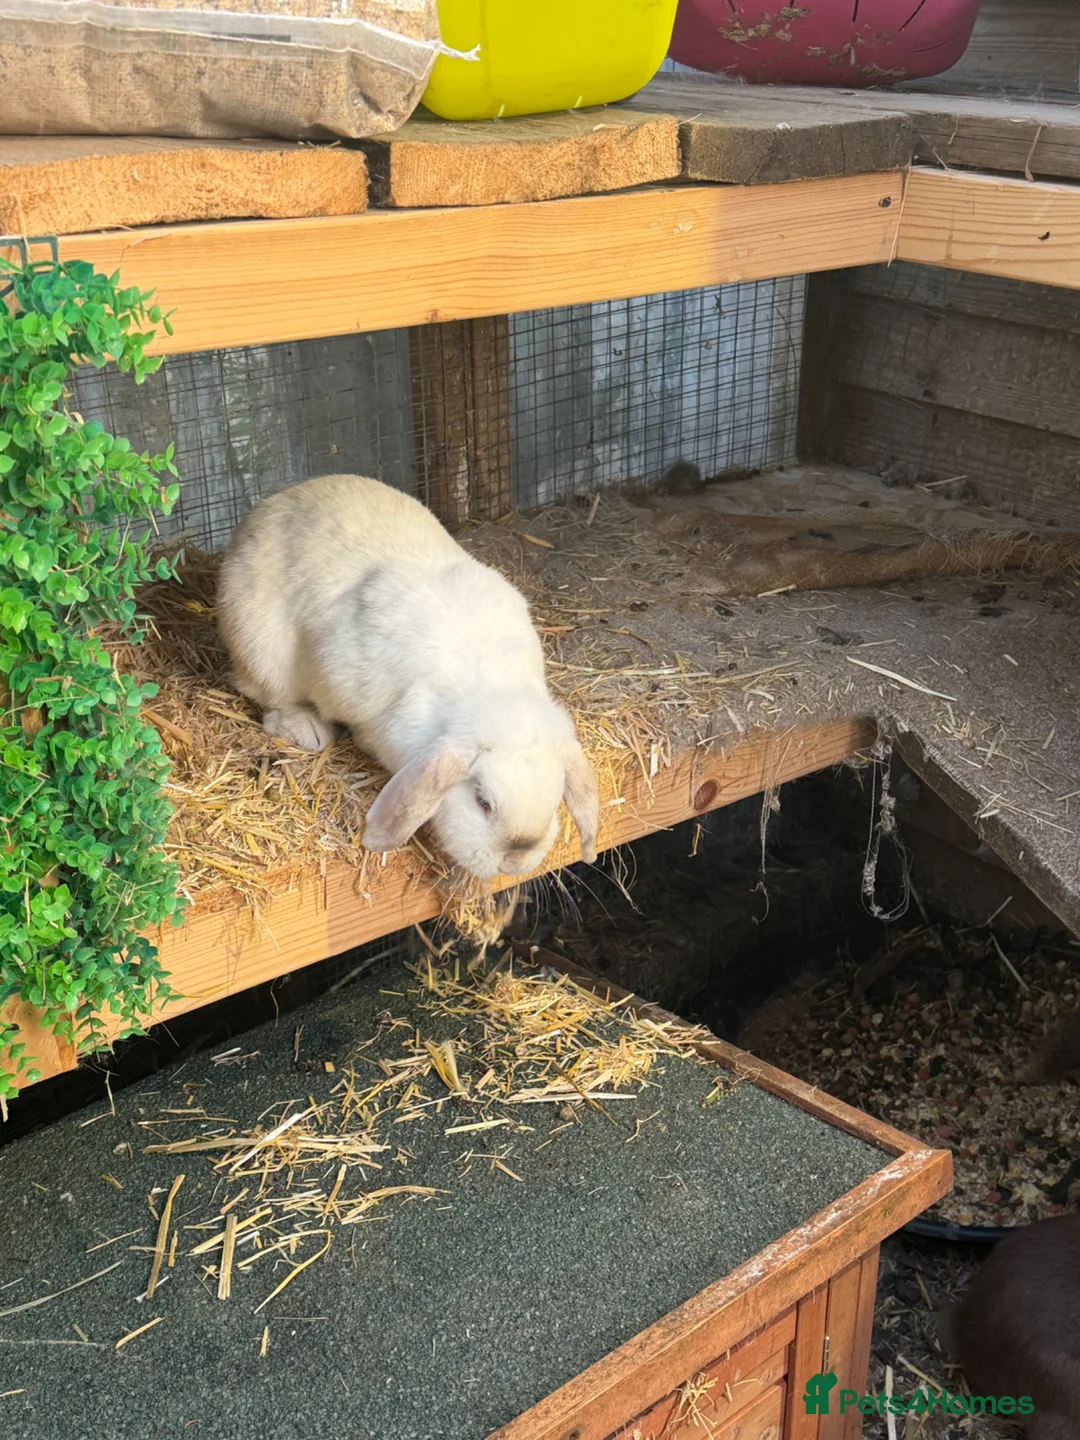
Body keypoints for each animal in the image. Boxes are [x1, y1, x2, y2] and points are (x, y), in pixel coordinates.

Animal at [216, 474, 599, 881]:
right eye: (482, 801)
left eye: (555, 801)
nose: (514, 860)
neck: (490, 687)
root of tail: (265, 509)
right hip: (258, 646)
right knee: (265, 696)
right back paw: (306, 729)